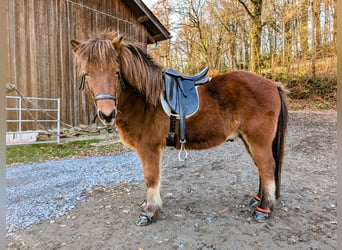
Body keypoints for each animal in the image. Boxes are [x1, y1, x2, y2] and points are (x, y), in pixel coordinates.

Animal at [71, 31, 288, 227]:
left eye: (116, 72)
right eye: (87, 74)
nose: (107, 114)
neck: (145, 100)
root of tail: (273, 85)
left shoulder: (149, 148)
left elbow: (151, 178)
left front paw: (150, 212)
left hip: (258, 140)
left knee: (267, 167)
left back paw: (264, 209)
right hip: (249, 140)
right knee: (261, 168)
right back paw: (258, 199)